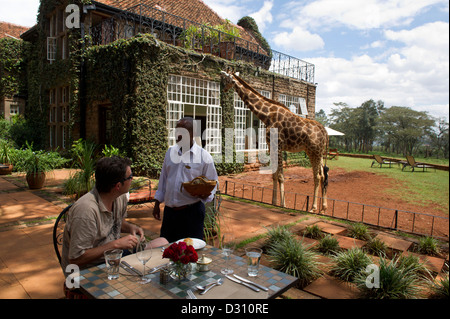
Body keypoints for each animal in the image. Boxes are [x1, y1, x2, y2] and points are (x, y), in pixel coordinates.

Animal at [221, 71, 330, 214]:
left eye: (226, 78)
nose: (223, 89)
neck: (267, 115)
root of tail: (325, 132)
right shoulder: (271, 146)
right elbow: (274, 175)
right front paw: (273, 202)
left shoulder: (277, 145)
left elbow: (280, 176)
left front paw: (283, 204)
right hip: (318, 152)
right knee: (323, 175)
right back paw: (323, 208)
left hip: (314, 151)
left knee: (317, 176)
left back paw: (313, 208)